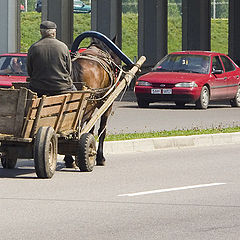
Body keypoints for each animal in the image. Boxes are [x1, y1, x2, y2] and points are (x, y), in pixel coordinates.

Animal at [63, 37, 121, 167]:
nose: (119, 67)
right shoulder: (106, 104)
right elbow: (101, 130)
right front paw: (100, 157)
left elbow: (92, 128)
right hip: (90, 105)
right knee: (78, 127)